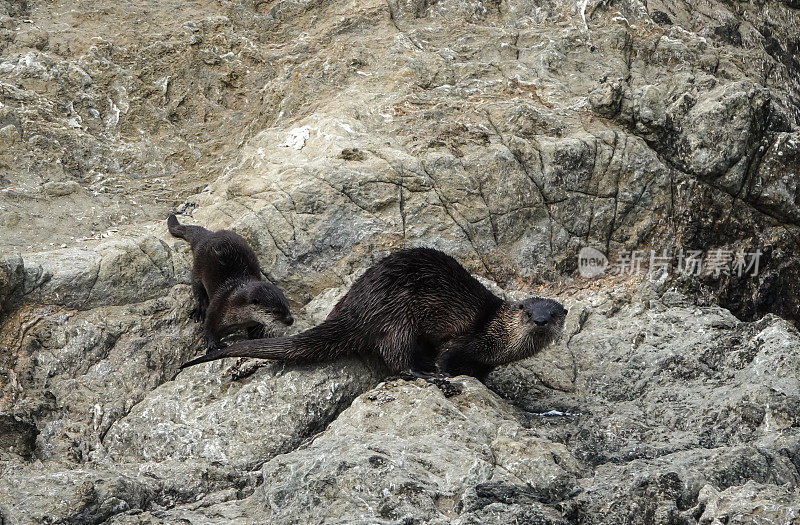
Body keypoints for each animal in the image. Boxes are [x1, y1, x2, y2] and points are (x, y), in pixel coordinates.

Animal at [166, 215, 294, 350]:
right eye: (276, 311)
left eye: (288, 306)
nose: (290, 320)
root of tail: (208, 236)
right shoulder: (217, 307)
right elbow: (209, 328)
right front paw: (213, 345)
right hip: (198, 266)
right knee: (197, 288)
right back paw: (200, 309)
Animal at [181, 248, 568, 378]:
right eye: (529, 312)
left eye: (552, 314)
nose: (540, 321)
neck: (497, 340)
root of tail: (357, 306)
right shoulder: (465, 338)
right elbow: (447, 356)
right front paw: (445, 374)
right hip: (398, 319)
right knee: (395, 357)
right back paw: (420, 373)